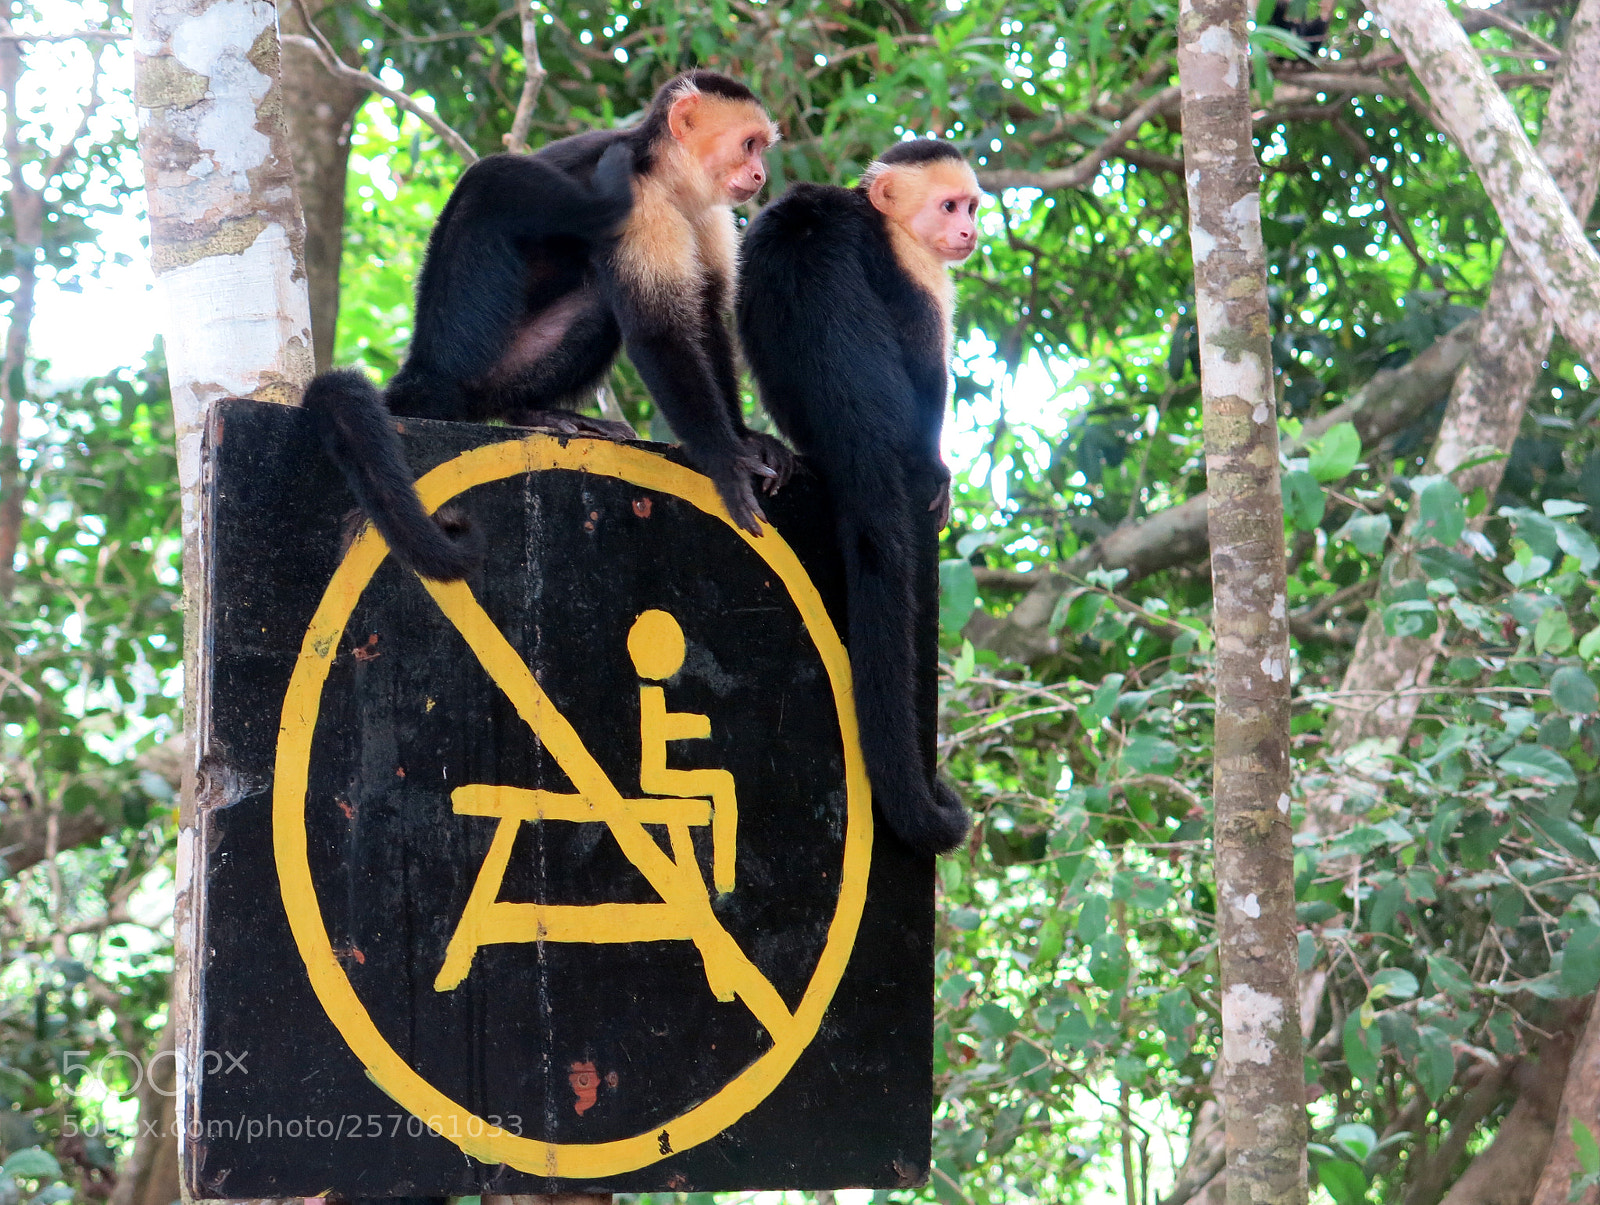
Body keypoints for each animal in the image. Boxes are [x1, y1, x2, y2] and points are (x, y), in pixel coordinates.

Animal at [303, 71, 791, 582]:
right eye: (749, 145)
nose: (760, 176)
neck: (671, 179)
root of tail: (420, 367)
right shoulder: (645, 202)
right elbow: (658, 332)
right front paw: (724, 460)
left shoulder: (711, 211)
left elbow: (709, 315)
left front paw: (746, 439)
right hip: (464, 343)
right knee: (495, 180)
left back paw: (534, 412)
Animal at [735, 140, 980, 857]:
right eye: (949, 207)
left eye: (970, 206)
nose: (969, 232)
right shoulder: (918, 269)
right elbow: (928, 365)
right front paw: (938, 470)